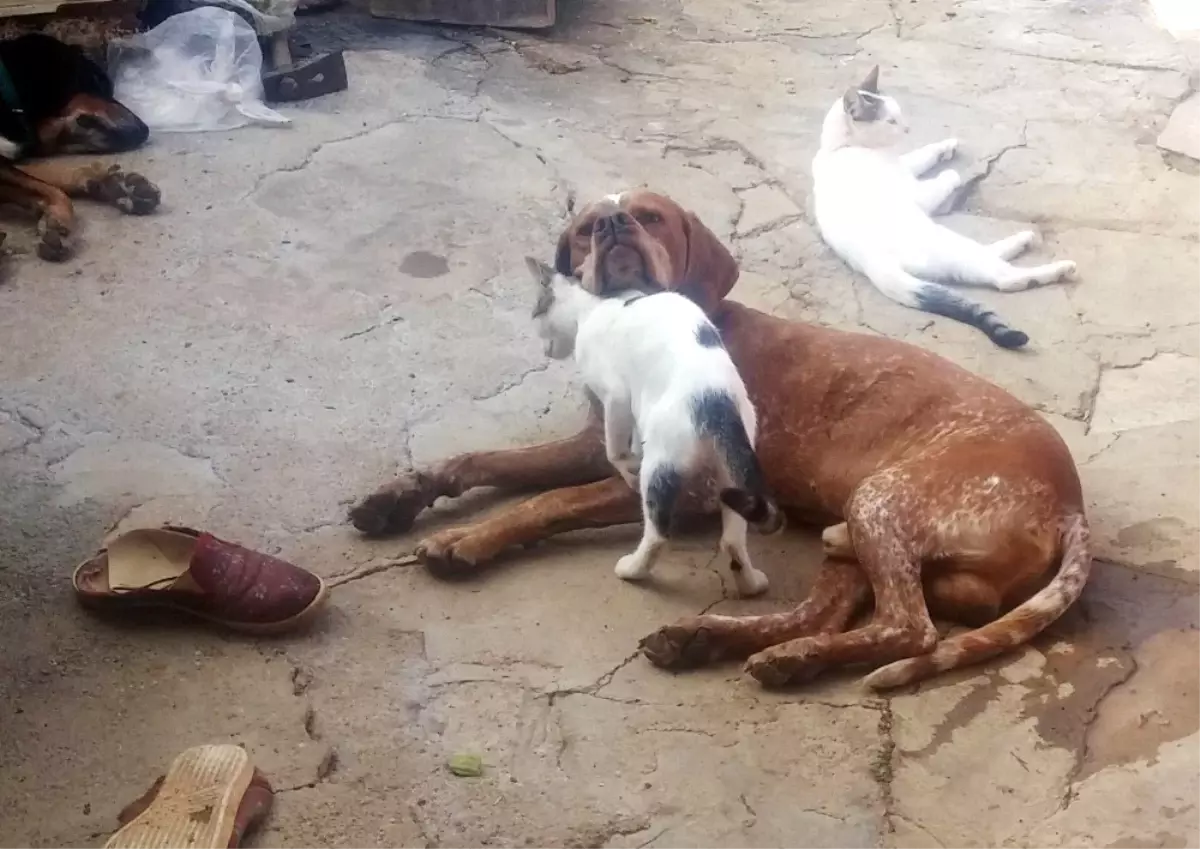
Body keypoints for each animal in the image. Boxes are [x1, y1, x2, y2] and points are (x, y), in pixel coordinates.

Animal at [0, 33, 160, 260]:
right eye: (98, 81)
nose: (145, 130)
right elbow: (52, 189)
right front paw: (59, 222)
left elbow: (48, 178)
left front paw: (114, 184)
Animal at [523, 259, 782, 597]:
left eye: (535, 314)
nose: (544, 352)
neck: (591, 308)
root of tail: (715, 401)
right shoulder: (633, 402)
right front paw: (633, 449)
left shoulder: (616, 396)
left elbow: (613, 448)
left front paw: (625, 465)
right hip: (734, 470)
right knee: (732, 539)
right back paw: (751, 584)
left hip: (661, 464)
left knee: (658, 533)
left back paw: (632, 569)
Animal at [816, 62, 1080, 347]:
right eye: (890, 121)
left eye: (899, 114)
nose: (907, 129)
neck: (837, 147)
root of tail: (872, 264)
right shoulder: (916, 193)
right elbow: (943, 178)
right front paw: (952, 173)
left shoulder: (904, 164)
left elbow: (920, 155)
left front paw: (945, 147)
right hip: (948, 245)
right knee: (1005, 278)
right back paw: (1058, 268)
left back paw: (1022, 241)